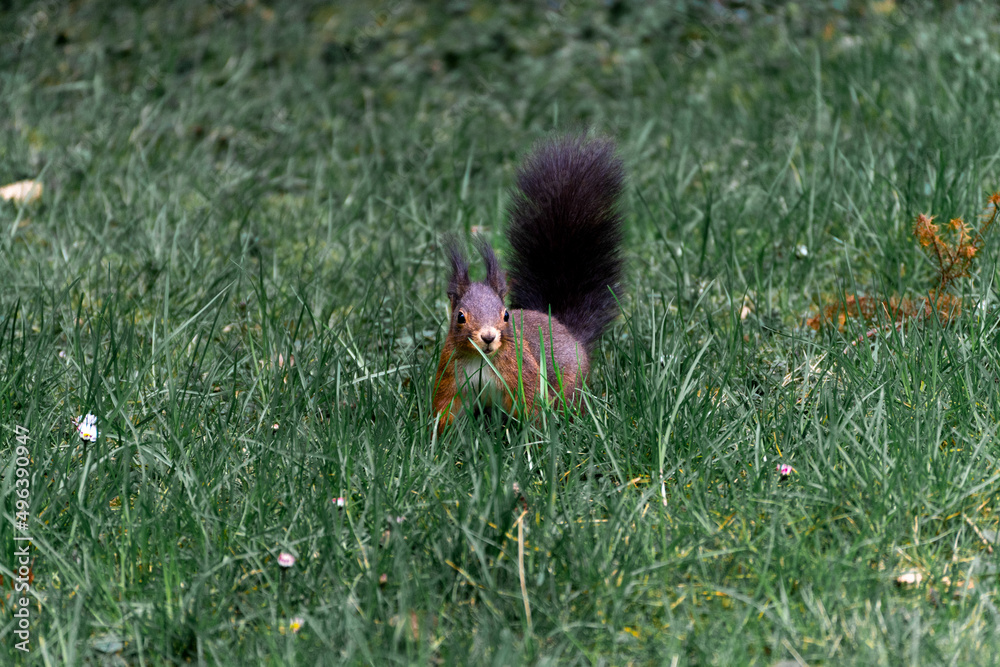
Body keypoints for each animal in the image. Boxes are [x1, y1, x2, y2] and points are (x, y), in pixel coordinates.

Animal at [431, 135, 626, 433]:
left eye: (506, 315)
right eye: (460, 317)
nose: (488, 337)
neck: (481, 360)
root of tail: (569, 332)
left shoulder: (522, 373)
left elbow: (531, 406)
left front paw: (533, 436)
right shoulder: (450, 377)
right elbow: (446, 412)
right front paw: (438, 439)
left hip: (570, 384)